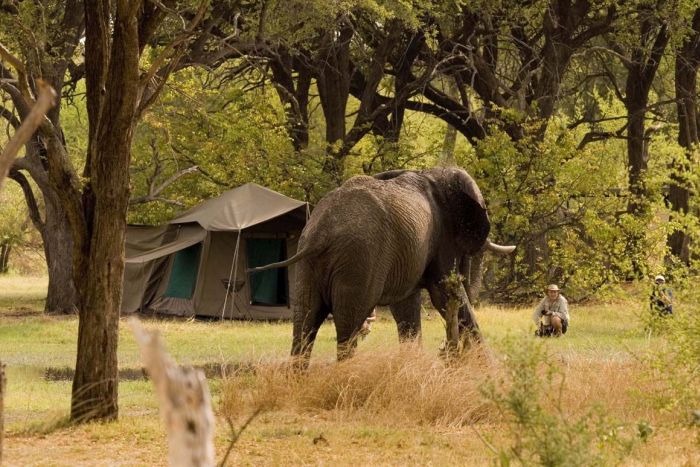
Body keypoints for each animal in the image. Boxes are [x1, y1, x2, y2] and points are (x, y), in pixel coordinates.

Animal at [252, 168, 516, 366]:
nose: (447, 350)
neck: (435, 171)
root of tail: (320, 233)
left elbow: (406, 306)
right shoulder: (442, 239)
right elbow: (446, 294)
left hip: (308, 263)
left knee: (305, 321)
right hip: (359, 261)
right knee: (348, 326)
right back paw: (346, 375)